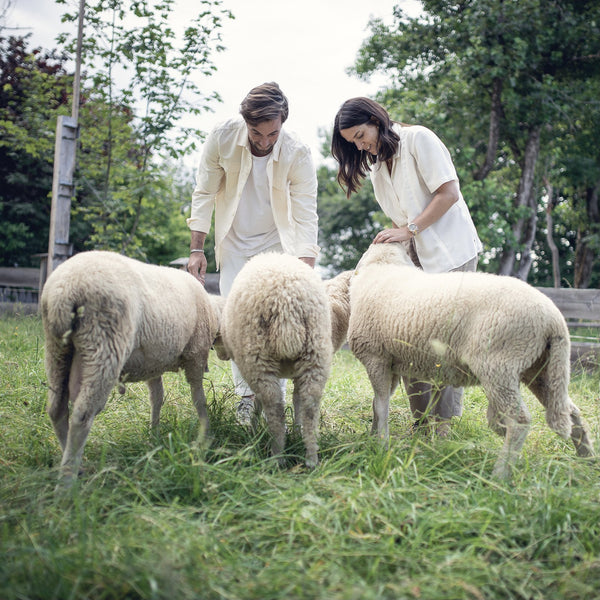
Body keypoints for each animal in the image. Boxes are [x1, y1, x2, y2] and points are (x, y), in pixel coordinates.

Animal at [41, 251, 225, 486]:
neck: (212, 309)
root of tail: (65, 289)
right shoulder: (195, 355)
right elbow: (198, 399)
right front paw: (205, 434)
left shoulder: (153, 363)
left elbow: (157, 398)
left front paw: (154, 434)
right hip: (104, 343)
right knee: (82, 415)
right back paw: (67, 482)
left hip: (57, 350)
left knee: (56, 409)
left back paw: (73, 466)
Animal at [213, 253, 340, 468]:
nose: (220, 355)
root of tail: (286, 302)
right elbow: (297, 401)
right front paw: (296, 430)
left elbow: (257, 403)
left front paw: (253, 428)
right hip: (316, 354)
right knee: (310, 407)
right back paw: (311, 458)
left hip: (257, 359)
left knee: (275, 410)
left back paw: (276, 457)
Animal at [346, 241, 592, 480]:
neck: (384, 266)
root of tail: (554, 320)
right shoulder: (392, 364)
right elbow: (378, 403)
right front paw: (373, 436)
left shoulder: (375, 357)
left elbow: (381, 406)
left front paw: (381, 445)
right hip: (541, 368)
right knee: (571, 411)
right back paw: (586, 459)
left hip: (499, 366)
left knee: (519, 420)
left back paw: (499, 475)